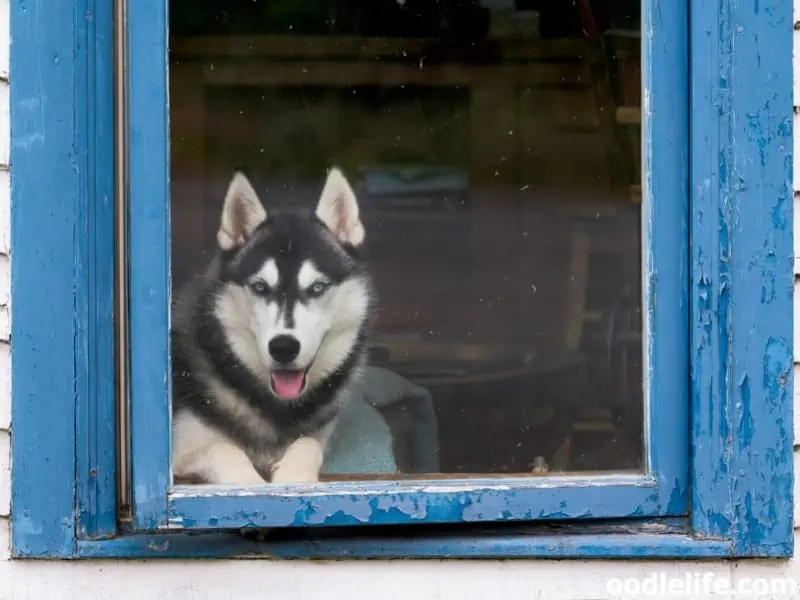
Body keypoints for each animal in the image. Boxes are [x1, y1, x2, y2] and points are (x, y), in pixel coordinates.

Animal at [171, 166, 376, 486]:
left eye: (317, 287)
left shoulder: (318, 435)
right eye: (259, 287)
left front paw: (293, 475)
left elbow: (308, 442)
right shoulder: (180, 450)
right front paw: (247, 483)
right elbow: (222, 447)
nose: (283, 347)